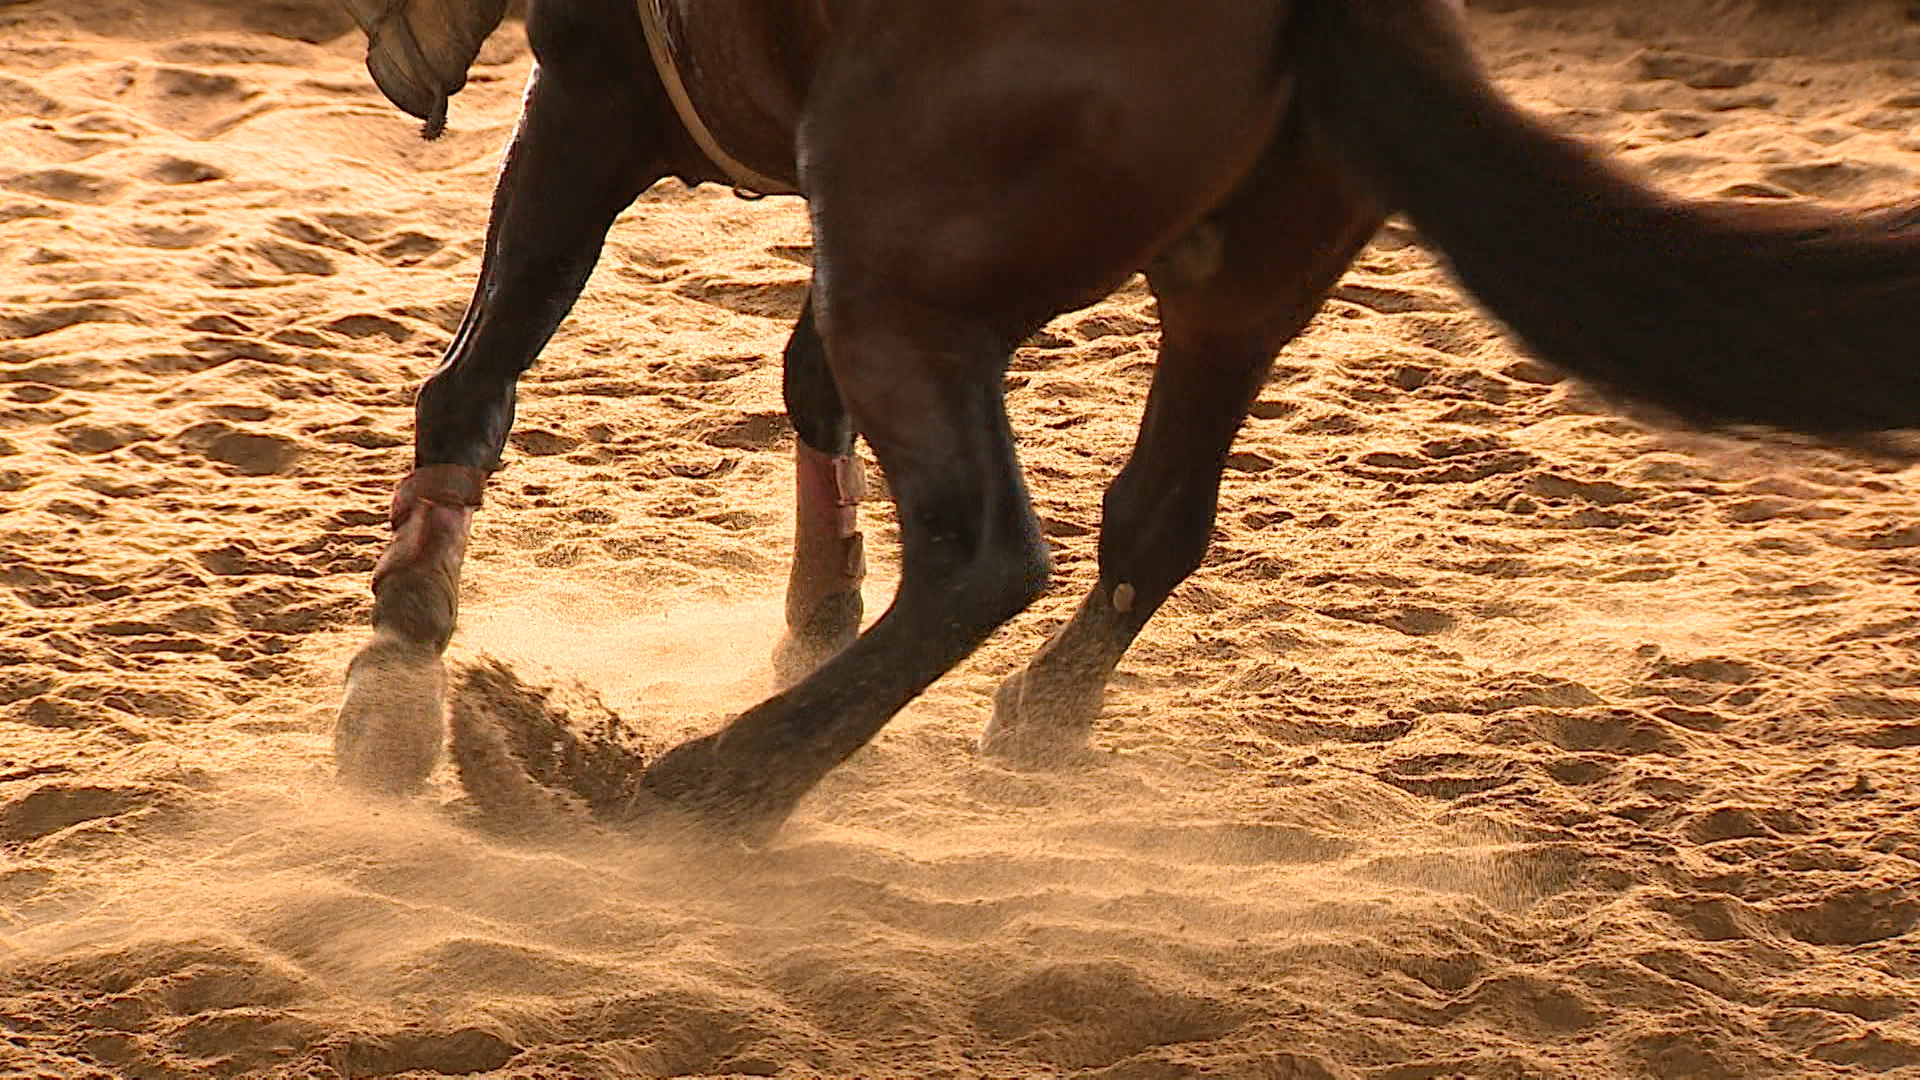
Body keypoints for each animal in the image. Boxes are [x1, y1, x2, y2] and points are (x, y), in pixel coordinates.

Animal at [337, 0, 1920, 837]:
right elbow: (799, 384)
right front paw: (813, 610)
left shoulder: (594, 92)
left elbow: (484, 367)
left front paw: (398, 660)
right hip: (1230, 295)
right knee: (1155, 524)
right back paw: (1029, 719)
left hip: (910, 283)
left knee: (985, 552)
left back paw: (704, 786)